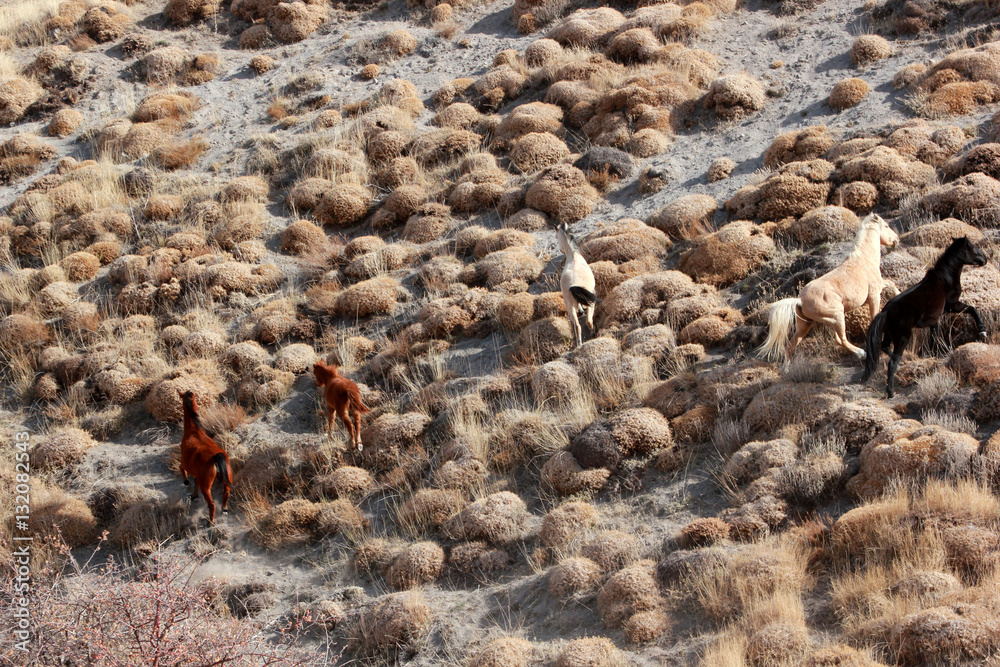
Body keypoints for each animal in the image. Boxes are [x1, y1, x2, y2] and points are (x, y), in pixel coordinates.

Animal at [178, 390, 232, 523]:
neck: (194, 431)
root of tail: (217, 457)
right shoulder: (198, 473)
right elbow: (196, 481)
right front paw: (194, 495)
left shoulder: (185, 462)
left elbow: (182, 468)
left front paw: (186, 481)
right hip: (227, 478)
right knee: (226, 493)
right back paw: (224, 509)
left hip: (206, 486)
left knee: (211, 504)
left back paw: (210, 522)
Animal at [758, 214, 899, 362]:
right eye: (886, 226)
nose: (896, 239)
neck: (864, 260)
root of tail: (800, 300)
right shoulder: (874, 296)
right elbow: (875, 315)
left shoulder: (879, 287)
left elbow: (890, 283)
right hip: (837, 316)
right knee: (841, 339)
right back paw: (861, 353)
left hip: (808, 324)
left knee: (791, 345)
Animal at [862, 236, 989, 398]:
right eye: (972, 247)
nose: (984, 259)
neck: (945, 278)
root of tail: (885, 311)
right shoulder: (953, 305)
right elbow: (972, 309)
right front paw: (982, 331)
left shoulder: (936, 318)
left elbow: (934, 336)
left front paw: (933, 354)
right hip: (902, 338)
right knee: (892, 363)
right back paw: (891, 392)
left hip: (890, 335)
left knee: (885, 347)